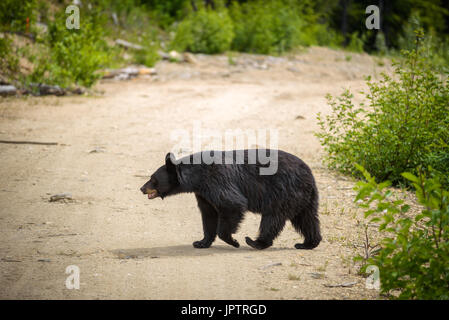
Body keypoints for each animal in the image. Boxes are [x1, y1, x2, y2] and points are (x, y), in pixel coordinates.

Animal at [139, 150, 318, 250]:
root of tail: (309, 173)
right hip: (304, 197)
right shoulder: (203, 193)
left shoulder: (216, 179)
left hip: (283, 192)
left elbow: (233, 204)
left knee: (273, 218)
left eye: (152, 179)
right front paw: (201, 242)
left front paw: (233, 241)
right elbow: (208, 214)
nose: (141, 188)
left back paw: (255, 242)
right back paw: (308, 243)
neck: (197, 176)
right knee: (307, 219)